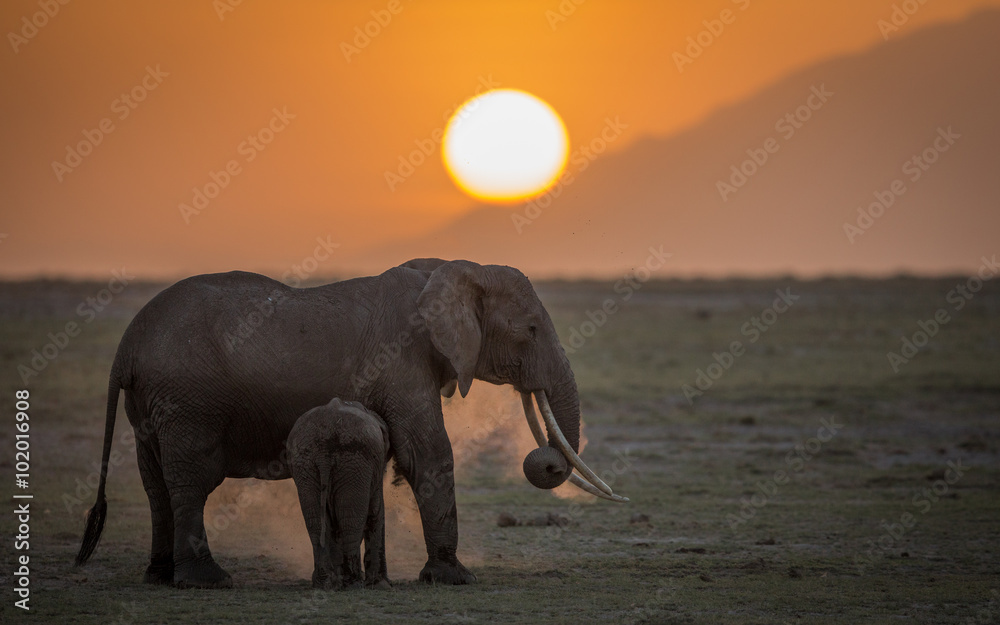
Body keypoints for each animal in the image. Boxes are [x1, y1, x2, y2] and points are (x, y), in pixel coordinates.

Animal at [287, 397, 390, 590]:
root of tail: (323, 452)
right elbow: (375, 512)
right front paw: (382, 585)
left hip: (305, 463)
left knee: (316, 522)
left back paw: (324, 582)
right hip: (355, 462)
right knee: (351, 520)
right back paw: (353, 582)